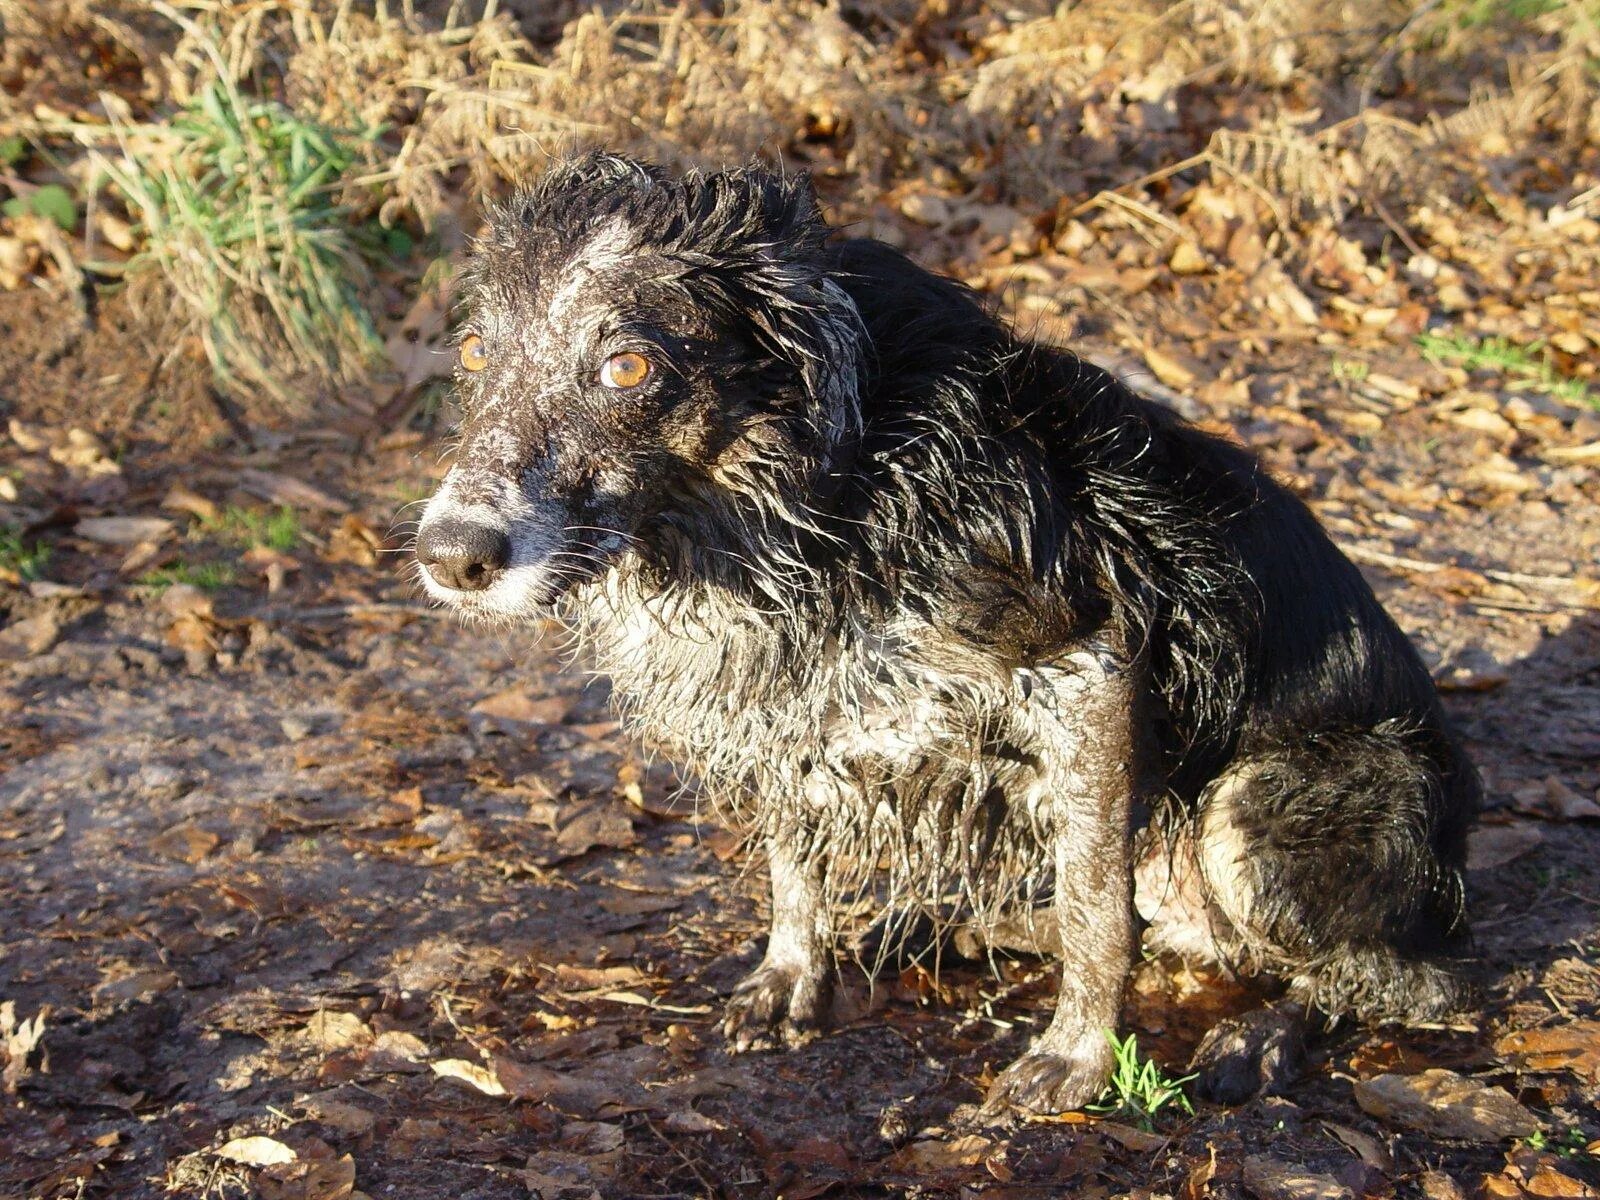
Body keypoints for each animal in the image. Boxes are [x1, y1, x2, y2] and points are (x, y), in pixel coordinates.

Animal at [412, 152, 1472, 1120]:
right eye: (475, 357)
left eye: (627, 365)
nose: (450, 555)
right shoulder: (786, 707)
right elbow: (794, 864)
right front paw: (792, 976)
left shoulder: (1089, 668)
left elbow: (1098, 910)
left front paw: (1077, 1058)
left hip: (1251, 810)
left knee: (1403, 983)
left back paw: (1261, 1032)